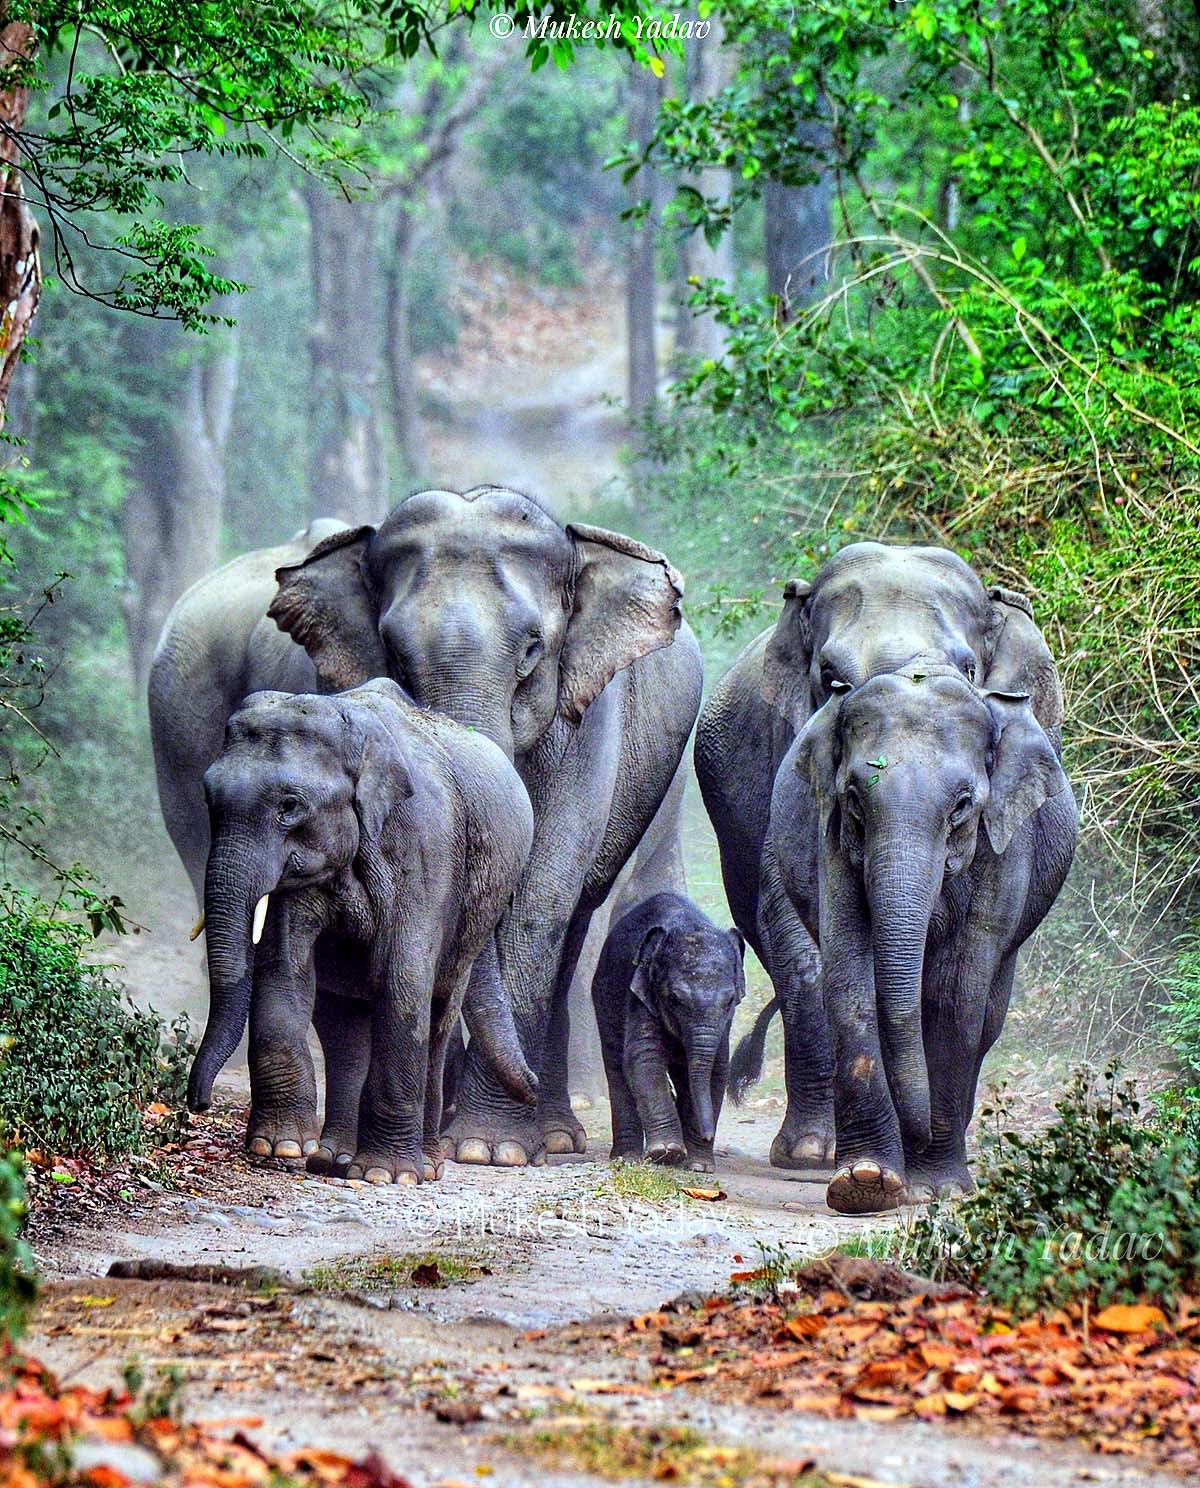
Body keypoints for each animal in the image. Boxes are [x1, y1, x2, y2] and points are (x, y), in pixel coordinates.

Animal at [188, 679, 537, 1184]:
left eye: (290, 806)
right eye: (208, 799)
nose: (198, 1102)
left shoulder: (425, 849)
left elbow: (403, 980)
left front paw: (385, 1175)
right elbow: (283, 970)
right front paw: (278, 1147)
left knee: (437, 1012)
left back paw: (422, 1166)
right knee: (344, 1024)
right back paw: (334, 1160)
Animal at [592, 892, 745, 1172]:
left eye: (730, 1001)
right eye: (674, 999)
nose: (708, 1135)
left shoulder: (724, 1023)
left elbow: (717, 1068)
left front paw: (700, 1166)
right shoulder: (639, 993)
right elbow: (644, 1057)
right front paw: (667, 1153)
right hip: (604, 995)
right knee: (616, 1066)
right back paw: (627, 1157)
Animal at [695, 541, 1064, 1172]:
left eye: (969, 671)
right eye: (830, 678)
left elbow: (962, 979)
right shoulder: (787, 767)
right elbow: (800, 932)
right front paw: (821, 1155)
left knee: (989, 1004)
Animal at [768, 665, 1077, 1211]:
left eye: (962, 806)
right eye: (854, 799)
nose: (918, 1136)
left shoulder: (1006, 848)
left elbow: (954, 993)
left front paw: (937, 1189)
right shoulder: (829, 838)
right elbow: (850, 977)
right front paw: (865, 1183)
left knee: (987, 1017)